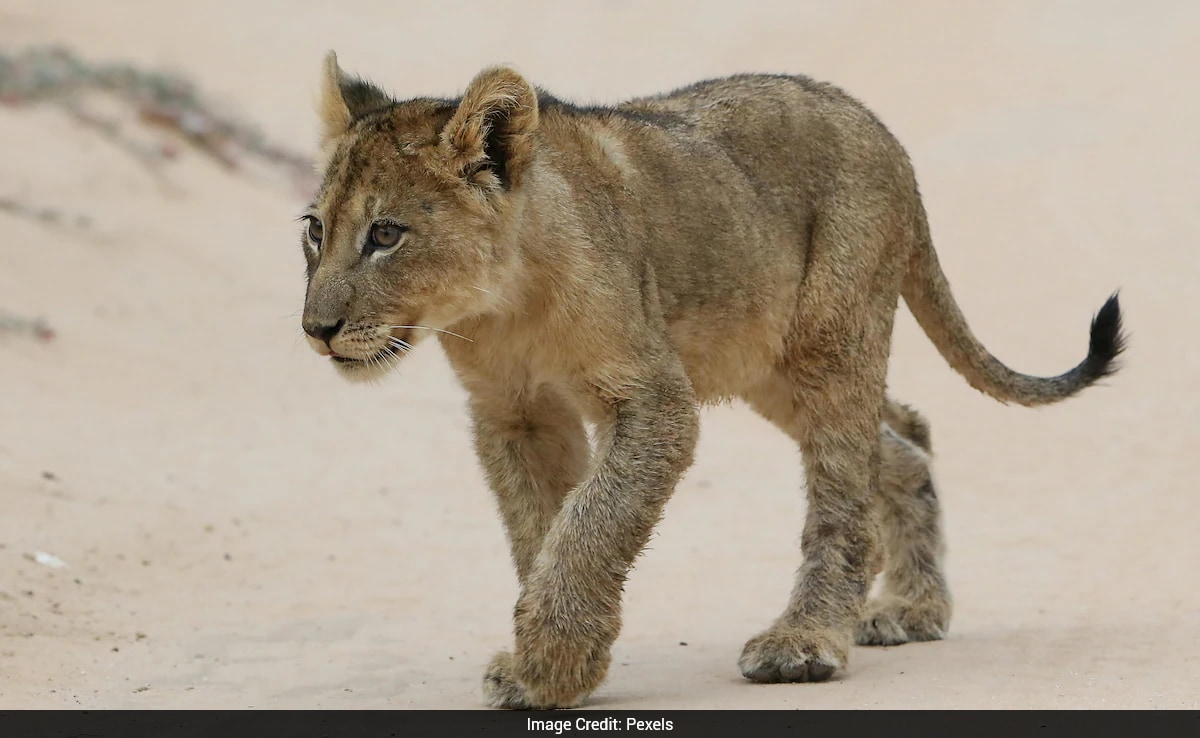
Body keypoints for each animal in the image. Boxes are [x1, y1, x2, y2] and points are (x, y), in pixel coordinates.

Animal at [297, 51, 1125, 709]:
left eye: (385, 234)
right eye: (314, 230)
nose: (315, 329)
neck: (505, 305)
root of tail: (878, 129)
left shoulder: (654, 400)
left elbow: (589, 525)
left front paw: (550, 661)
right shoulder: (513, 415)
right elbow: (540, 530)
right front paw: (554, 669)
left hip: (832, 339)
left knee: (843, 498)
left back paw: (807, 641)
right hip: (767, 368)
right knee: (902, 442)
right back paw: (913, 606)